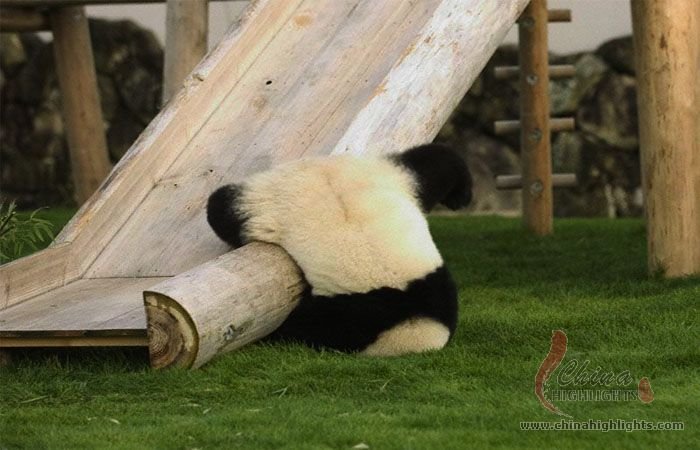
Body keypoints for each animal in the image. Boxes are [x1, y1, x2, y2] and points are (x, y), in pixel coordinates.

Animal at [206, 143, 472, 356]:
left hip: (382, 177)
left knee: (431, 165)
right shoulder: (351, 314)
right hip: (271, 205)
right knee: (226, 209)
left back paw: (460, 197)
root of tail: (316, 168)